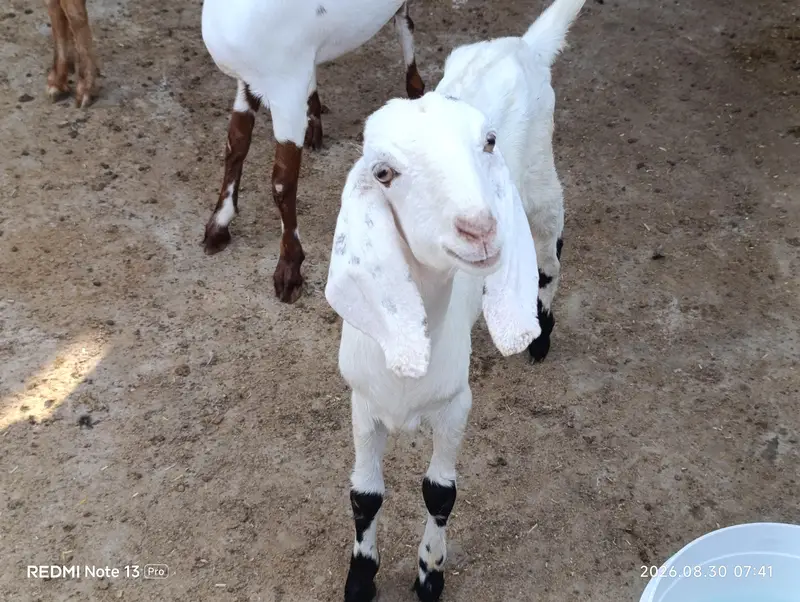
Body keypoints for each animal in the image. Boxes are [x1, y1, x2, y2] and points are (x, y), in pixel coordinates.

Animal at [200, 0, 425, 304]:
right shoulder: (248, 82)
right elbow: (235, 146)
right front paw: (218, 226)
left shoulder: (285, 93)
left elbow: (282, 183)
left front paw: (289, 272)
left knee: (404, 24)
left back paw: (416, 91)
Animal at [325, 1, 585, 600]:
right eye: (383, 172)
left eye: (487, 142)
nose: (480, 227)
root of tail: (523, 43)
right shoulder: (362, 405)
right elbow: (363, 495)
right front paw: (360, 578)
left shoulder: (456, 404)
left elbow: (439, 491)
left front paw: (429, 574)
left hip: (540, 177)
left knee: (552, 246)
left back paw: (541, 330)